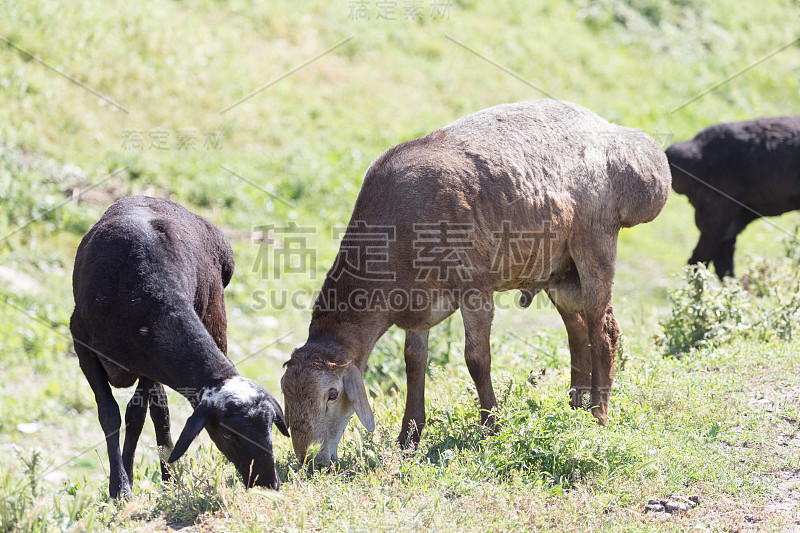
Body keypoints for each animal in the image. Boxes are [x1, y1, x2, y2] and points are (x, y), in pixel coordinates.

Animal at [69, 195, 288, 498]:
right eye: (228, 434)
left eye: (269, 428)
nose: (267, 484)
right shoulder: (83, 344)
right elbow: (109, 414)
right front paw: (120, 489)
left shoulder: (149, 360)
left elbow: (136, 415)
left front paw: (128, 481)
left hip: (214, 317)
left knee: (158, 411)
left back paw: (168, 479)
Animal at [278, 97, 672, 464]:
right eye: (284, 394)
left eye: (332, 394)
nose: (309, 459)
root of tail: (620, 139)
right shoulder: (417, 307)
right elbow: (414, 363)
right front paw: (408, 439)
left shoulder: (475, 287)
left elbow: (476, 359)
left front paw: (492, 428)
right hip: (559, 269)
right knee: (578, 330)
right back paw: (575, 407)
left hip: (594, 240)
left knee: (603, 330)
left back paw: (598, 416)